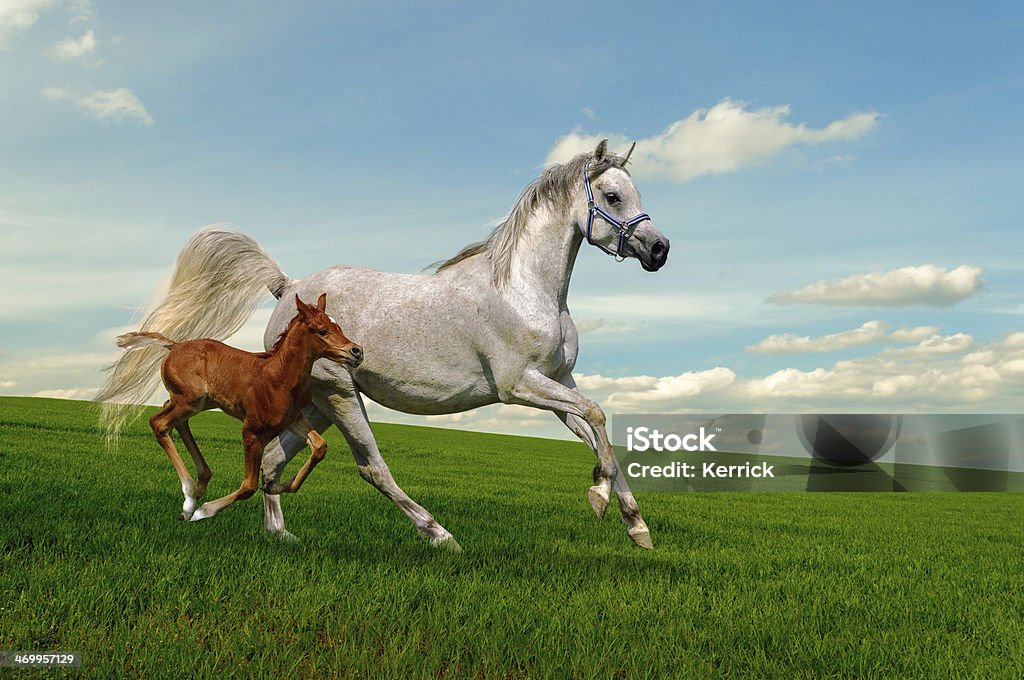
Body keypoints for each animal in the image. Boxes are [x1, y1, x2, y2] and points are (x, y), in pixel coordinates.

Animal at [118, 292, 364, 520]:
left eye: (339, 326)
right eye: (322, 331)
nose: (357, 351)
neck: (279, 377)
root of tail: (174, 346)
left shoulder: (292, 419)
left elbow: (320, 446)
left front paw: (276, 485)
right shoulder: (252, 431)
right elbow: (248, 486)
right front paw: (205, 511)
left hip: (197, 402)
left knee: (176, 420)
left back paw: (199, 486)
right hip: (190, 400)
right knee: (159, 423)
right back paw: (189, 501)